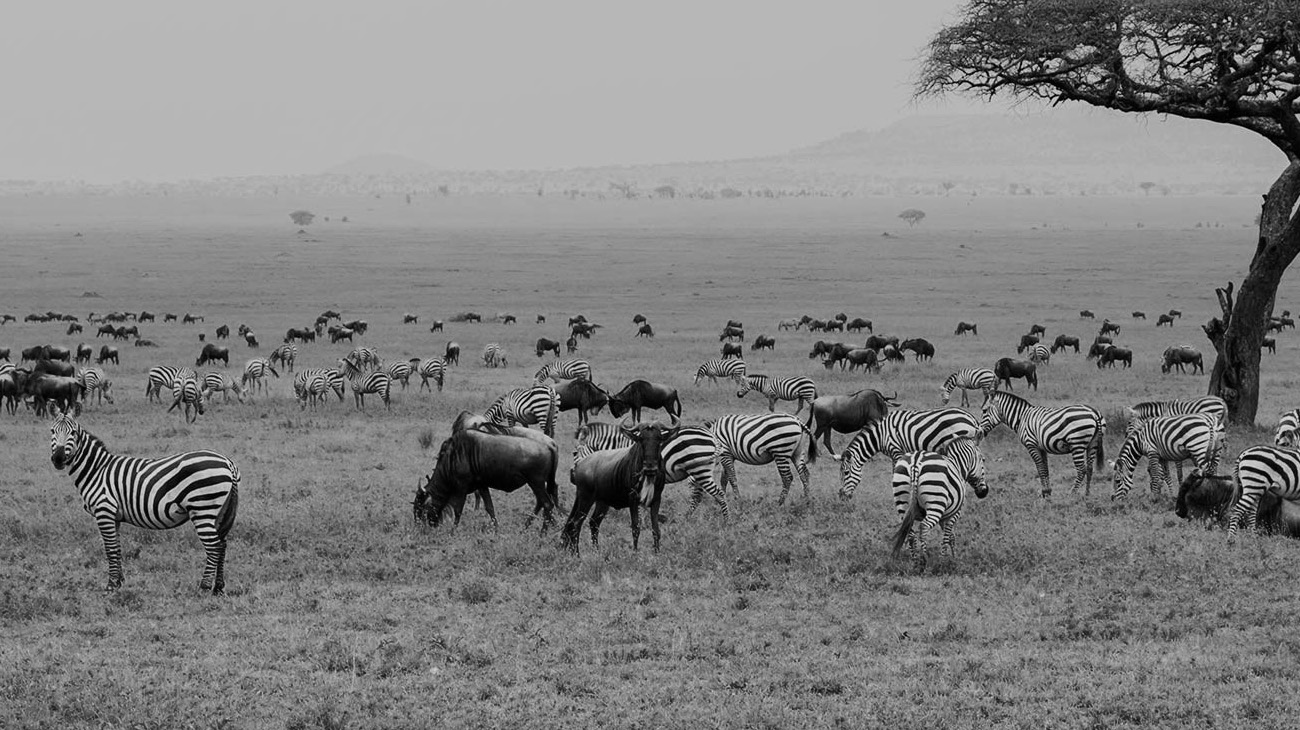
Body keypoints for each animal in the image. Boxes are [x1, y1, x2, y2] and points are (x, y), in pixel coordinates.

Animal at [48, 410, 241, 592]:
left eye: (73, 432)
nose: (57, 459)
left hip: (202, 509)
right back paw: (218, 587)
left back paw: (204, 587)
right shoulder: (115, 516)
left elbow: (110, 549)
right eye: (52, 431)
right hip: (219, 511)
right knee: (222, 544)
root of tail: (228, 462)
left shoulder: (104, 511)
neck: (97, 470)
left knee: (214, 546)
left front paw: (110, 585)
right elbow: (117, 548)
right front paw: (119, 582)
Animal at [579, 418, 733, 514]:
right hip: (702, 470)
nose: (576, 474)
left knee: (718, 494)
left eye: (575, 452)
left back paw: (726, 522)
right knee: (699, 495)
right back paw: (687, 518)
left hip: (700, 470)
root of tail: (712, 436)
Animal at [837, 405, 977, 496]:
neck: (880, 435)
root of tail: (972, 418)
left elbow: (896, 472)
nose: (842, 496)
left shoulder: (896, 451)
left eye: (846, 473)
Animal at [889, 433, 987, 566]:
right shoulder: (954, 513)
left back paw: (915, 561)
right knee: (924, 527)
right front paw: (945, 559)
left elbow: (950, 536)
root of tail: (916, 461)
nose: (984, 492)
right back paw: (924, 560)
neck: (958, 465)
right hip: (936, 503)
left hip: (902, 502)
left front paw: (952, 557)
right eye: (983, 459)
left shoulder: (944, 516)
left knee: (910, 532)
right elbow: (948, 536)